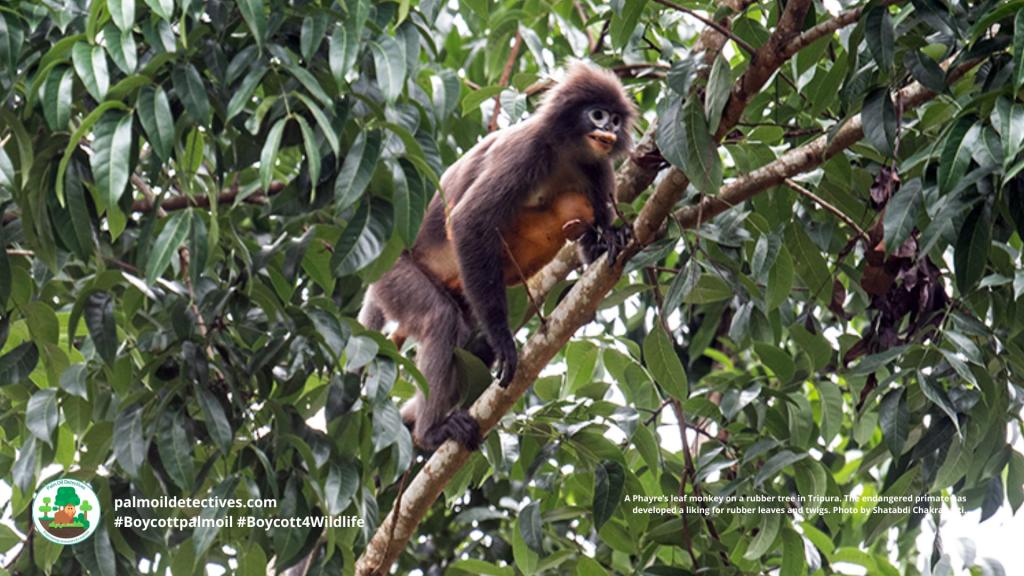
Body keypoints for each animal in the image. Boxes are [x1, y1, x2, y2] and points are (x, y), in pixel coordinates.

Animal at [358, 61, 630, 448]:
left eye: (616, 120)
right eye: (598, 114)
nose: (609, 129)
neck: (567, 151)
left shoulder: (597, 169)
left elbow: (597, 257)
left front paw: (611, 238)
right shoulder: (527, 151)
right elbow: (469, 221)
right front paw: (504, 341)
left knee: (469, 341)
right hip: (394, 276)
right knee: (441, 319)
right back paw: (431, 431)